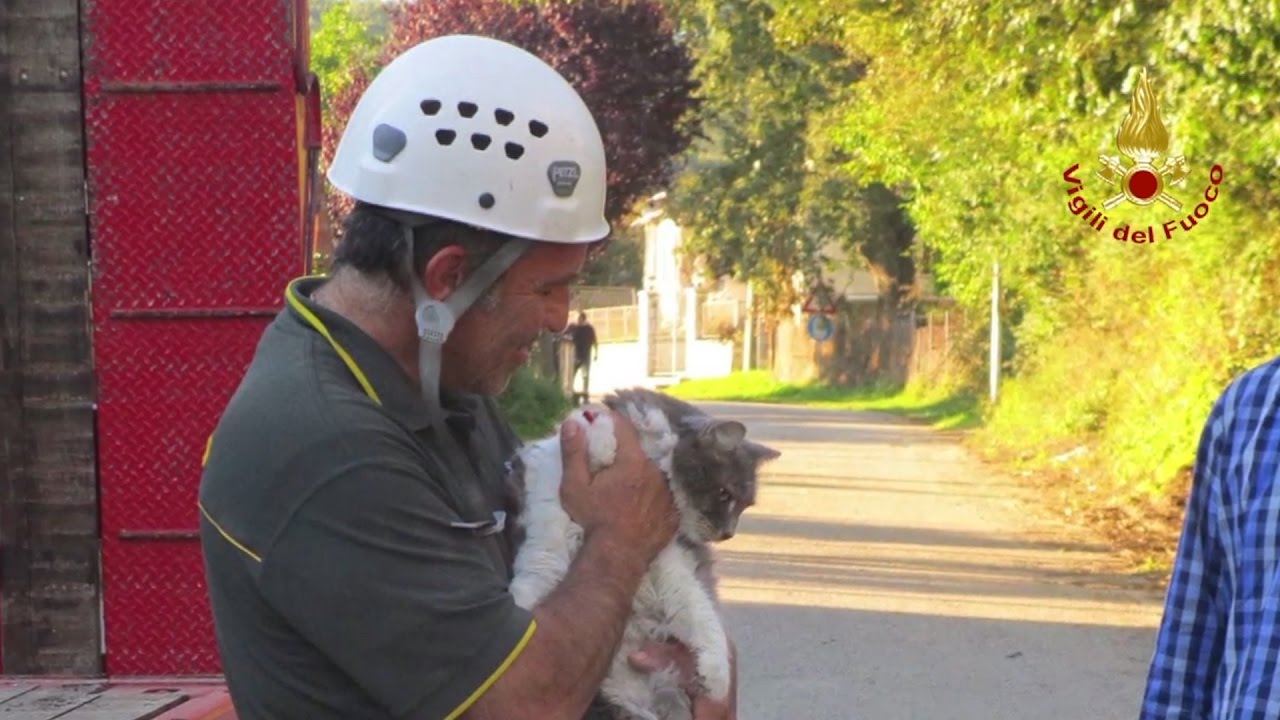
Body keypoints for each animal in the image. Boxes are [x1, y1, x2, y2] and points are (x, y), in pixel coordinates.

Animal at [509, 389, 778, 712]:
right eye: (725, 494)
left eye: (744, 506)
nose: (728, 533)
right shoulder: (548, 531)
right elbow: (532, 585)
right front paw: (602, 441)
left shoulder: (673, 564)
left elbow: (705, 620)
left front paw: (714, 680)